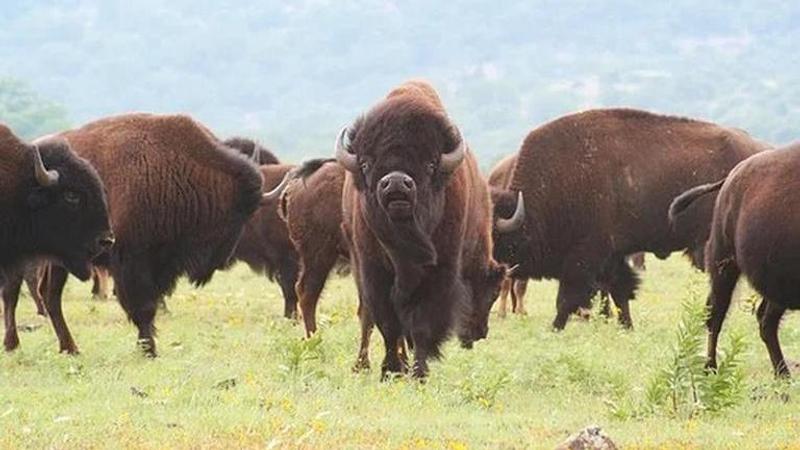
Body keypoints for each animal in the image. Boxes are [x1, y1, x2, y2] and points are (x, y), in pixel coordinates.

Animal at [3, 114, 262, 356]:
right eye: (237, 214)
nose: (224, 261)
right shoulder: (132, 260)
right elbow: (143, 307)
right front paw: (149, 350)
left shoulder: (159, 264)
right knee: (14, 293)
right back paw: (13, 344)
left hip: (59, 260)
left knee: (49, 294)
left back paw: (70, 348)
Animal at [336, 81, 500, 380]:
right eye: (366, 163)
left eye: (430, 163)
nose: (396, 182)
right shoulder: (374, 272)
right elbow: (388, 324)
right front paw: (390, 370)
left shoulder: (438, 273)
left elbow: (422, 325)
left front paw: (418, 372)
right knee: (368, 316)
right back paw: (366, 365)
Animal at [494, 107, 768, 328]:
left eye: (494, 236)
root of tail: (760, 150)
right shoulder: (612, 257)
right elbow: (619, 292)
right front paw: (626, 326)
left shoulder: (584, 256)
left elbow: (568, 298)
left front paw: (556, 327)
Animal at [672, 142, 796, 378]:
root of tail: (730, 178)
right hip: (724, 266)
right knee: (716, 316)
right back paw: (711, 368)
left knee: (765, 321)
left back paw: (783, 375)